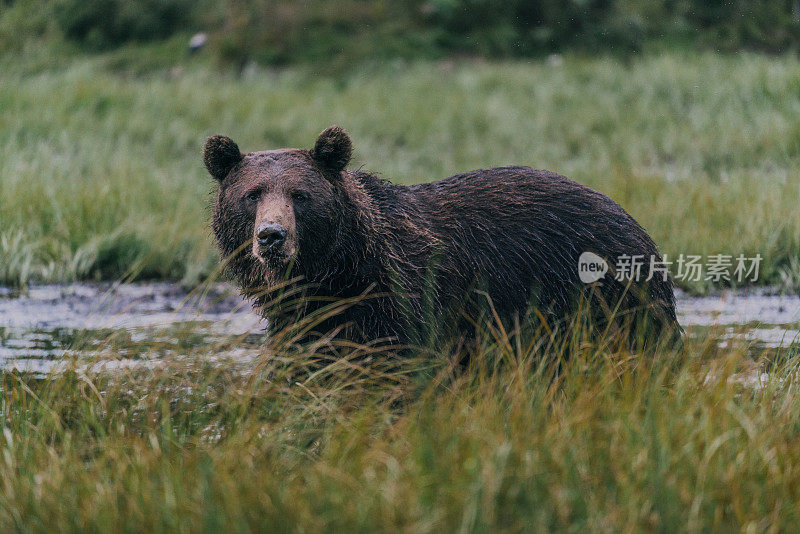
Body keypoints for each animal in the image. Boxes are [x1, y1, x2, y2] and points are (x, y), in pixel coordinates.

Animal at [203, 128, 680, 350]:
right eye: (252, 194)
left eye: (300, 196)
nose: (271, 236)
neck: (339, 273)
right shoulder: (306, 320)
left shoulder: (403, 298)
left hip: (599, 295)